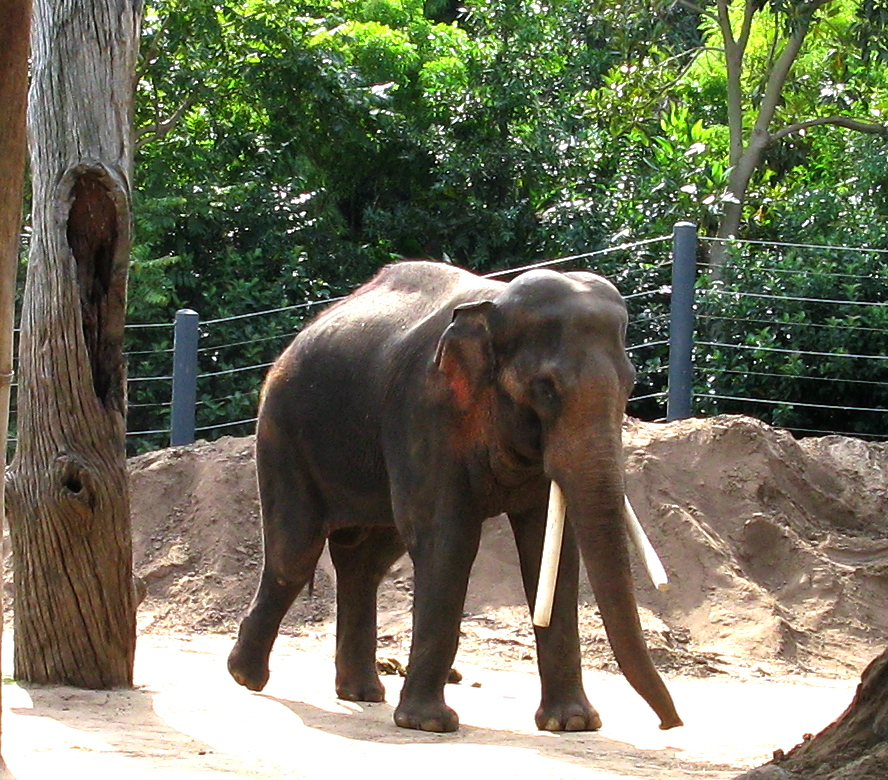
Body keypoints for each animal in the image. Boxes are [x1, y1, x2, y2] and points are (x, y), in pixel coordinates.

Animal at [227, 260, 683, 734]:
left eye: (630, 384)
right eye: (546, 388)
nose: (669, 725)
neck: (493, 305)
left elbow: (548, 549)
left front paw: (572, 723)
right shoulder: (424, 413)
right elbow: (448, 540)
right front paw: (428, 724)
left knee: (366, 561)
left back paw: (360, 693)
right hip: (284, 434)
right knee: (295, 553)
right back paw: (247, 676)